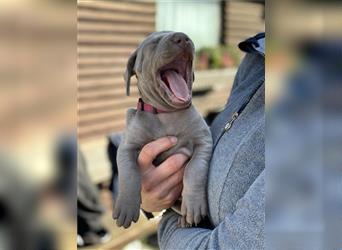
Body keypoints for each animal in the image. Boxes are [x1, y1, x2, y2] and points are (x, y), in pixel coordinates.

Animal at [113, 31, 212, 229]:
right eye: (154, 43)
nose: (183, 37)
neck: (166, 114)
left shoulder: (204, 141)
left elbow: (194, 169)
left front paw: (194, 204)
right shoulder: (127, 147)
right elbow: (129, 174)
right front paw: (126, 205)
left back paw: (186, 218)